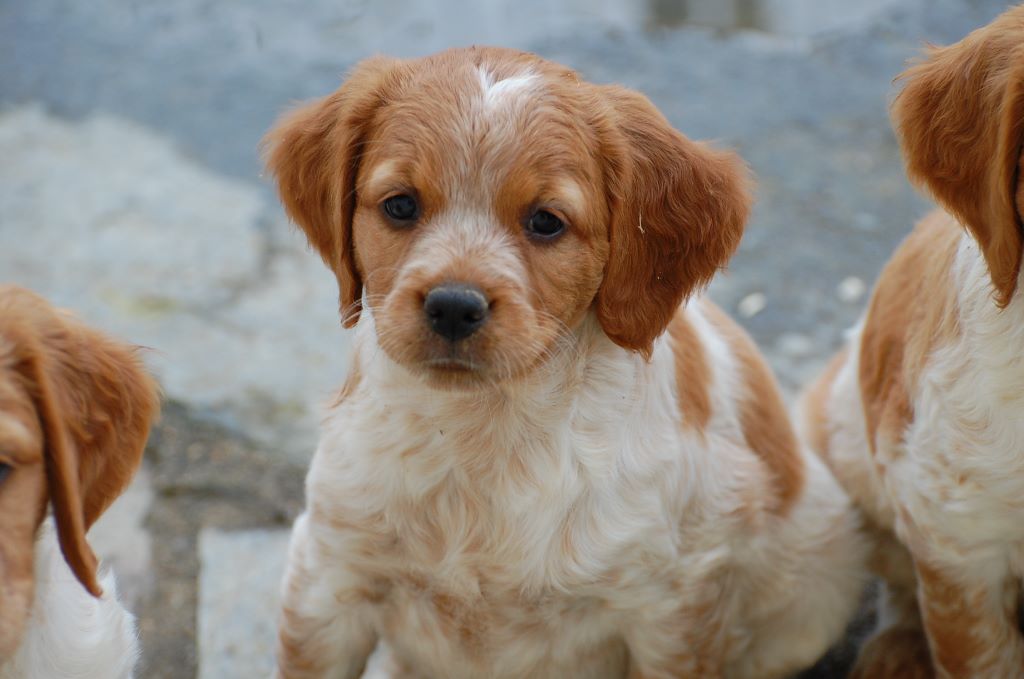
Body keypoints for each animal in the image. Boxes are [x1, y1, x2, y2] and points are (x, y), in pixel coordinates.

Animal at [265, 46, 867, 679]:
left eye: (546, 222)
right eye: (400, 205)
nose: (453, 306)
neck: (481, 431)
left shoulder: (673, 607)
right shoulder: (330, 572)